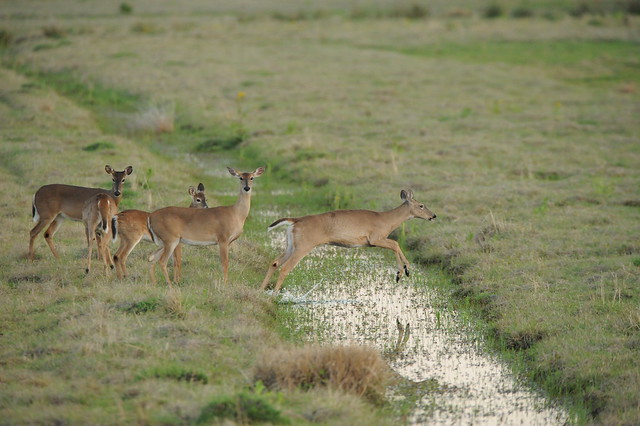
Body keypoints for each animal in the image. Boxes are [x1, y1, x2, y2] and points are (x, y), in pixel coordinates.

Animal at [260, 189, 436, 292]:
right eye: (421, 205)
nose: (433, 216)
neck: (387, 220)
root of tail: (295, 221)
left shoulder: (377, 240)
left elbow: (395, 244)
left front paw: (403, 272)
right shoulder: (375, 238)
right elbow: (395, 243)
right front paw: (403, 271)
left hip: (291, 245)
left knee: (275, 262)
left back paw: (261, 290)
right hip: (303, 246)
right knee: (285, 268)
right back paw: (274, 294)